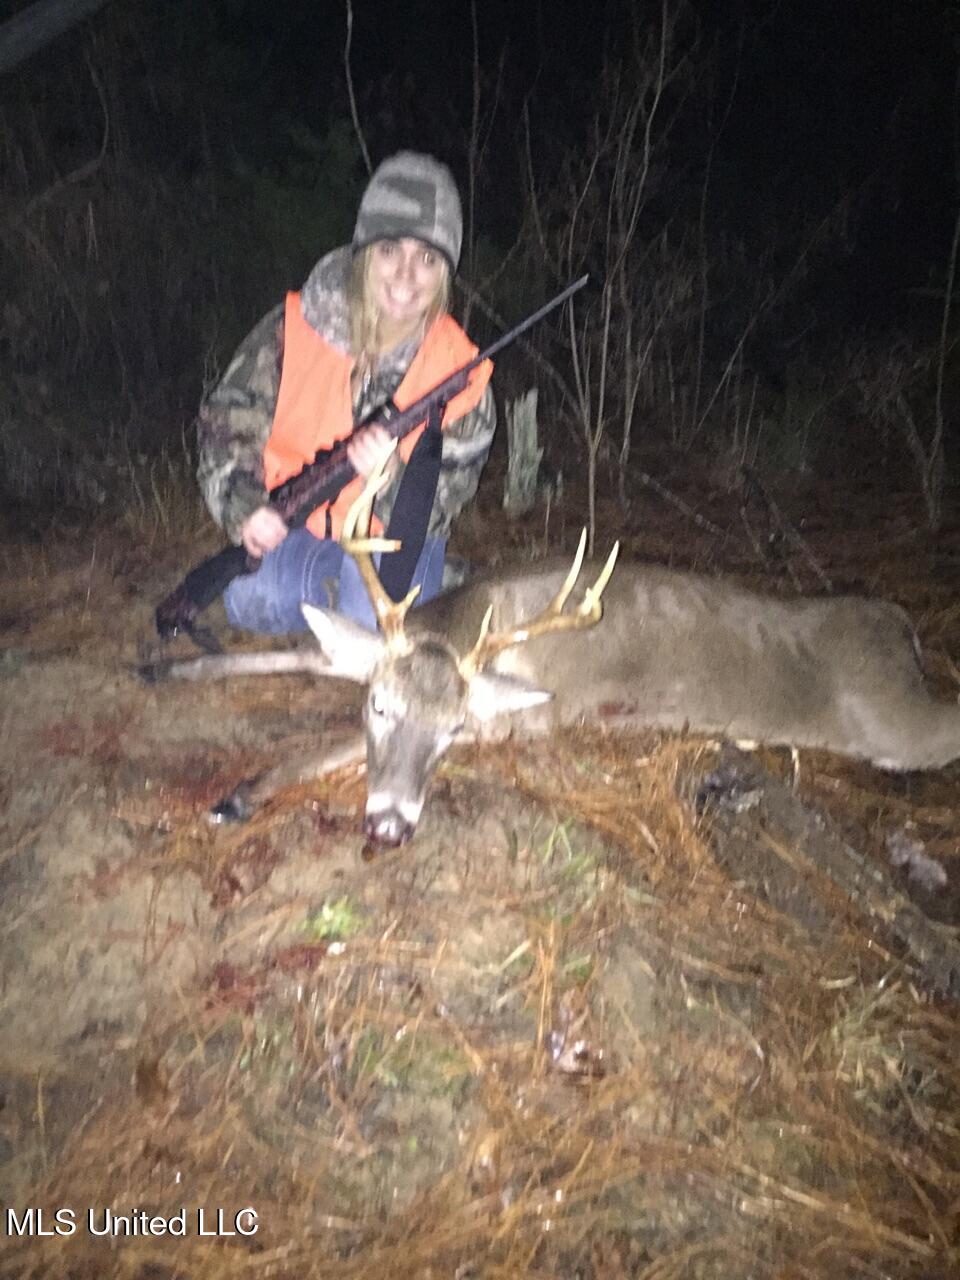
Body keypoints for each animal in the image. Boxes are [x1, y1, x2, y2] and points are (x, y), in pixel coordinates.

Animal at [140, 455, 960, 847]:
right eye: (380, 704)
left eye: (453, 731)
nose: (390, 827)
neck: (466, 619)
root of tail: (902, 627)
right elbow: (305, 653)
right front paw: (165, 665)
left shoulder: (514, 719)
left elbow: (324, 742)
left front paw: (238, 795)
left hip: (890, 719)